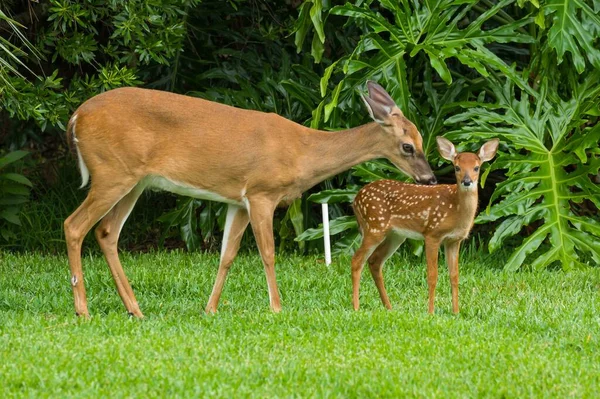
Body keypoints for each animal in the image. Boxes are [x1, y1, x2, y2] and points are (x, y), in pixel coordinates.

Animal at [64, 82, 436, 318]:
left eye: (422, 141)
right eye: (408, 146)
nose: (430, 178)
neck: (303, 151)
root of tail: (76, 117)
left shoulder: (237, 201)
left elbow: (226, 256)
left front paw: (210, 309)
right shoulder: (261, 193)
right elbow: (268, 253)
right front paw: (277, 307)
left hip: (134, 181)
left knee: (106, 232)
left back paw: (135, 309)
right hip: (112, 172)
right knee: (74, 225)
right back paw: (83, 310)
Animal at [350, 138, 500, 316]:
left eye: (476, 167)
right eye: (457, 167)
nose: (467, 181)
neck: (456, 210)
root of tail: (356, 199)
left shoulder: (454, 240)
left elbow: (454, 276)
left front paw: (456, 312)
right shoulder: (432, 233)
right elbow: (432, 275)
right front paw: (431, 312)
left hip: (395, 235)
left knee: (374, 261)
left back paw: (388, 306)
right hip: (374, 226)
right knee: (356, 260)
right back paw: (356, 307)